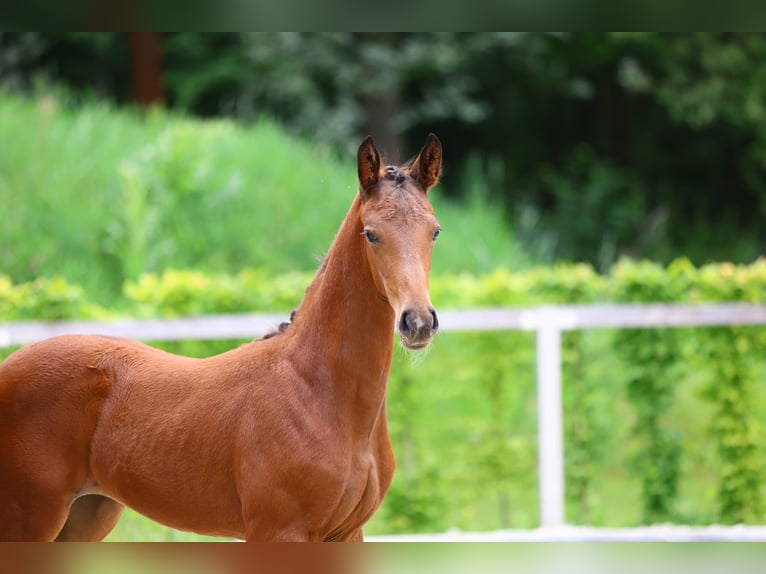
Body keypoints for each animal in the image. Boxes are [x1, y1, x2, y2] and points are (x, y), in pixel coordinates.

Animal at [0, 134, 444, 540]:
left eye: (434, 231)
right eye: (371, 233)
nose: (418, 321)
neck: (319, 391)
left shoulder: (347, 534)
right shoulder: (277, 532)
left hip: (86, 515)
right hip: (29, 518)